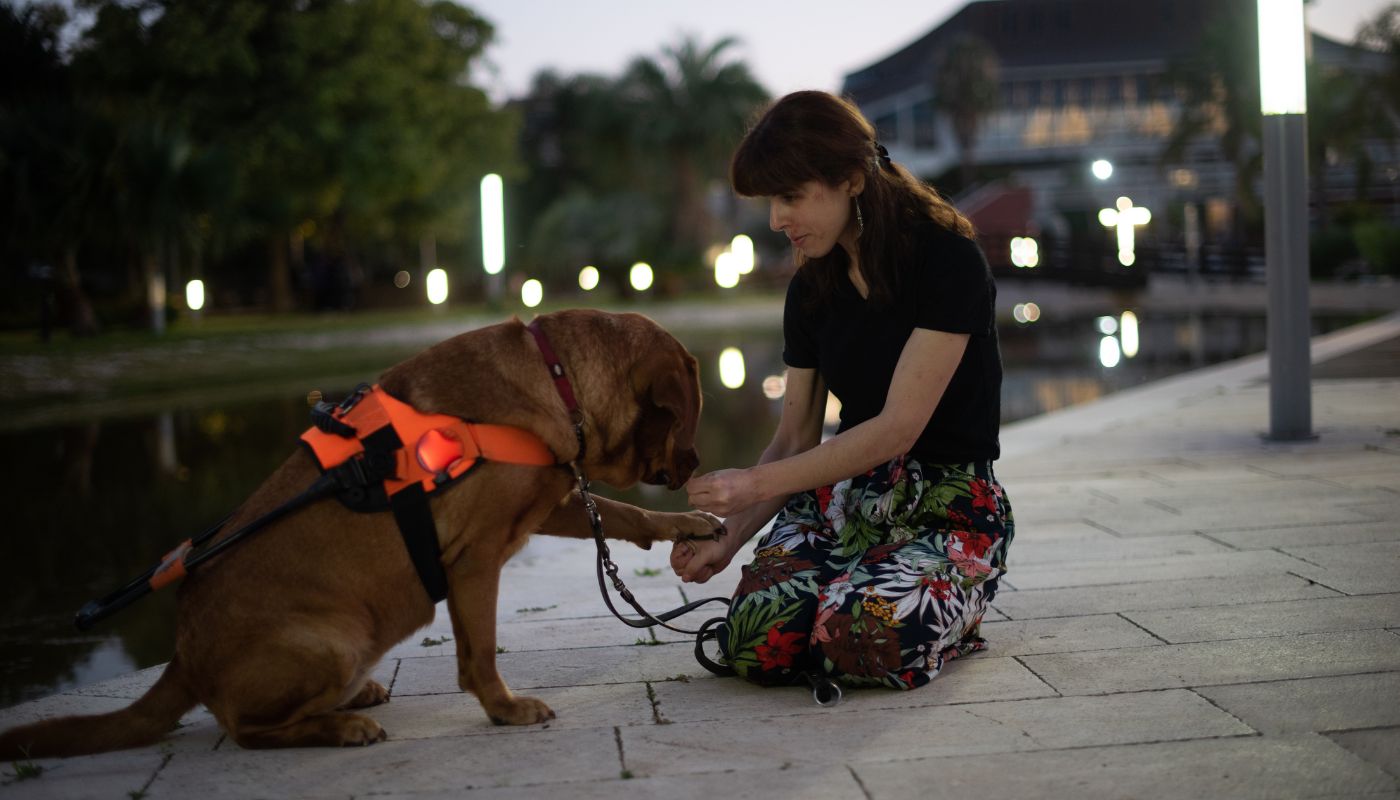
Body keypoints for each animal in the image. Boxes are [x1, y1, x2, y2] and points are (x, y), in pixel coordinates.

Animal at [0, 311, 716, 756]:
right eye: (690, 417)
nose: (697, 466)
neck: (558, 380)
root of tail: (183, 655)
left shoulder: (544, 505)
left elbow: (623, 513)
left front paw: (687, 523)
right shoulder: (476, 558)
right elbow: (479, 654)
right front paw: (504, 709)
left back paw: (355, 700)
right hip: (332, 639)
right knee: (245, 729)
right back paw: (341, 727)